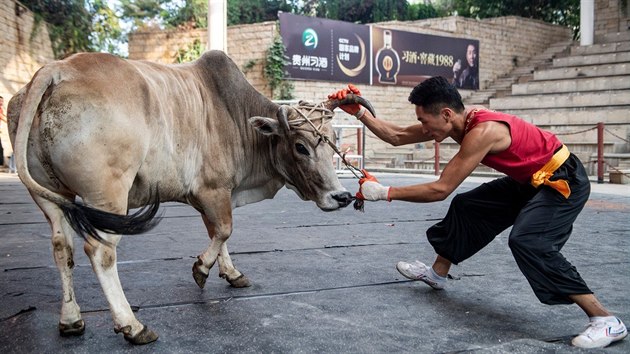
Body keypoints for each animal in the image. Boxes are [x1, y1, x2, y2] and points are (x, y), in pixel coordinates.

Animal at [7, 51, 372, 344]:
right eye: (300, 146)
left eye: (331, 140)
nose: (340, 196)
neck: (237, 118)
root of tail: (58, 69)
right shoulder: (213, 190)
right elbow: (224, 229)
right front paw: (201, 269)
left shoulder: (209, 197)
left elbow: (217, 233)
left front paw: (230, 273)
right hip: (109, 196)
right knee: (100, 252)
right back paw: (132, 325)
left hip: (53, 197)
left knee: (62, 249)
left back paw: (71, 319)